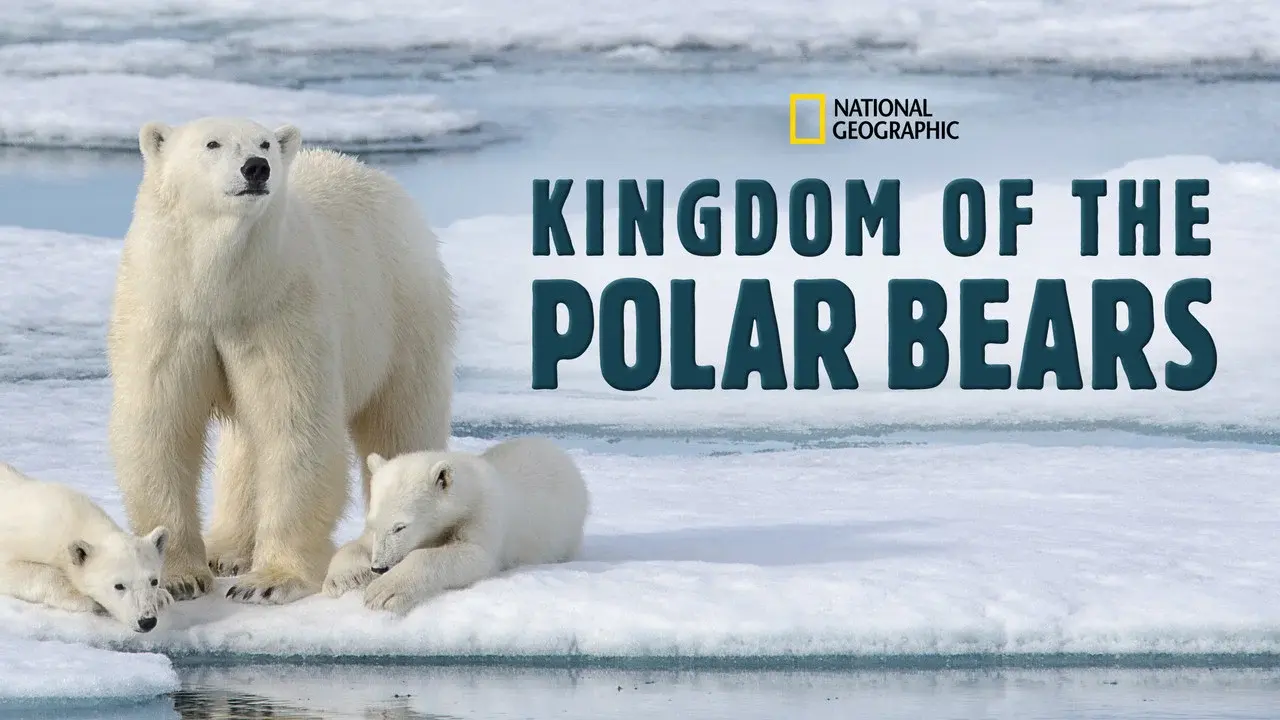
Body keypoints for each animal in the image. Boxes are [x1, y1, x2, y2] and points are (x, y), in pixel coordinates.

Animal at [107, 116, 456, 606]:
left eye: (265, 142)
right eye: (212, 143)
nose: (257, 167)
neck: (222, 289)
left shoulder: (281, 311)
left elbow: (294, 427)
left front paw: (269, 580)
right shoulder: (168, 314)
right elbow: (161, 424)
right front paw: (179, 578)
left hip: (403, 314)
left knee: (400, 420)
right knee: (244, 449)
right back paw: (227, 550)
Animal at [322, 437, 590, 614]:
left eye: (400, 527)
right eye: (373, 523)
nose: (379, 567)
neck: (468, 491)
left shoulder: (484, 514)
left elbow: (471, 555)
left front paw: (384, 591)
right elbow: (356, 545)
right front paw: (344, 578)